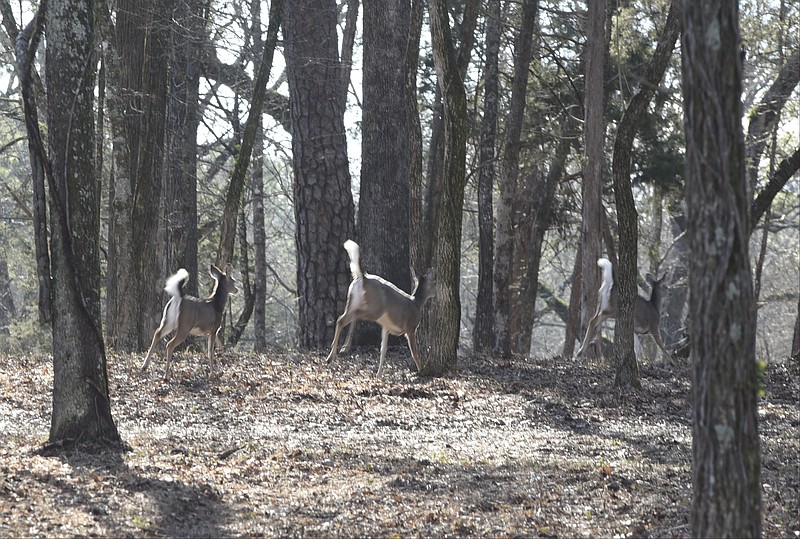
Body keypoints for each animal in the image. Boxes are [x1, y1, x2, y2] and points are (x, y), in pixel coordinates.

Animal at [324, 240, 438, 380]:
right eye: (434, 283)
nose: (435, 294)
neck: (417, 303)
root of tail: (363, 277)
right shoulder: (410, 328)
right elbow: (414, 352)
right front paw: (421, 371)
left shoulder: (386, 327)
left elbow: (383, 350)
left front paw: (378, 375)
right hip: (375, 308)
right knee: (351, 316)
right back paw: (341, 350)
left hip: (351, 301)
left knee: (341, 319)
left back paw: (334, 354)